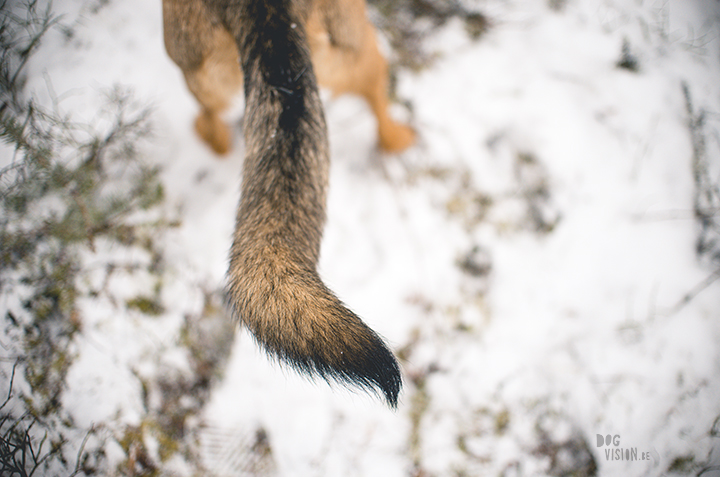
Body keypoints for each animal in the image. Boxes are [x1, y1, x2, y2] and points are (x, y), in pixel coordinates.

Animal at [162, 0, 410, 406]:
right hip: (358, 45)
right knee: (378, 100)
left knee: (213, 118)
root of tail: (266, 8)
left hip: (194, 63)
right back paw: (399, 139)